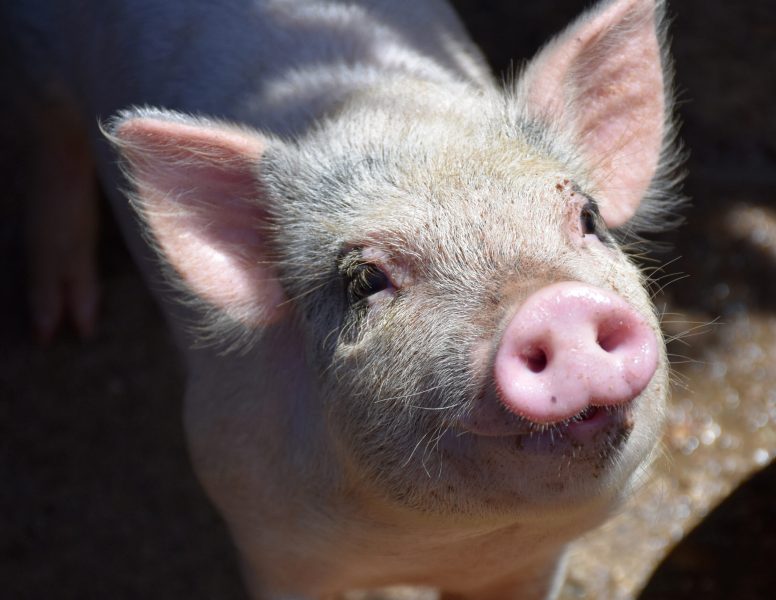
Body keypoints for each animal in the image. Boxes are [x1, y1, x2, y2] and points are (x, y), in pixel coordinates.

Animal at [6, 0, 680, 596]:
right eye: (365, 280)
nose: (554, 303)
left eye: (589, 218)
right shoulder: (257, 521)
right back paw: (63, 323)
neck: (436, 546)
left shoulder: (536, 561)